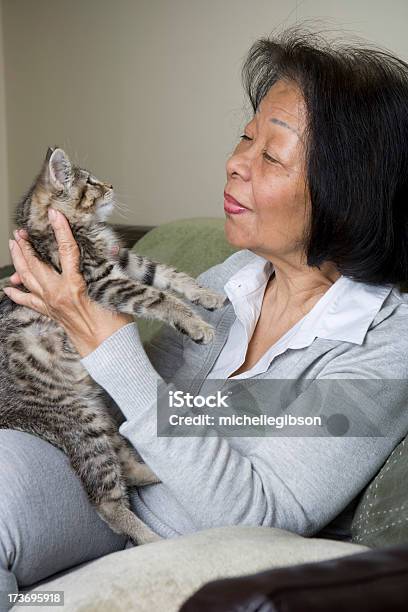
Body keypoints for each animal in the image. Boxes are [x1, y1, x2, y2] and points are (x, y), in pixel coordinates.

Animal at [0, 148, 223, 544]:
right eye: (90, 182)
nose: (111, 185)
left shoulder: (124, 261)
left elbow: (167, 274)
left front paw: (204, 296)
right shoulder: (103, 282)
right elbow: (158, 295)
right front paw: (195, 322)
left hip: (97, 416)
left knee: (122, 463)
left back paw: (154, 474)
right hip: (81, 423)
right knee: (104, 500)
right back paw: (151, 541)